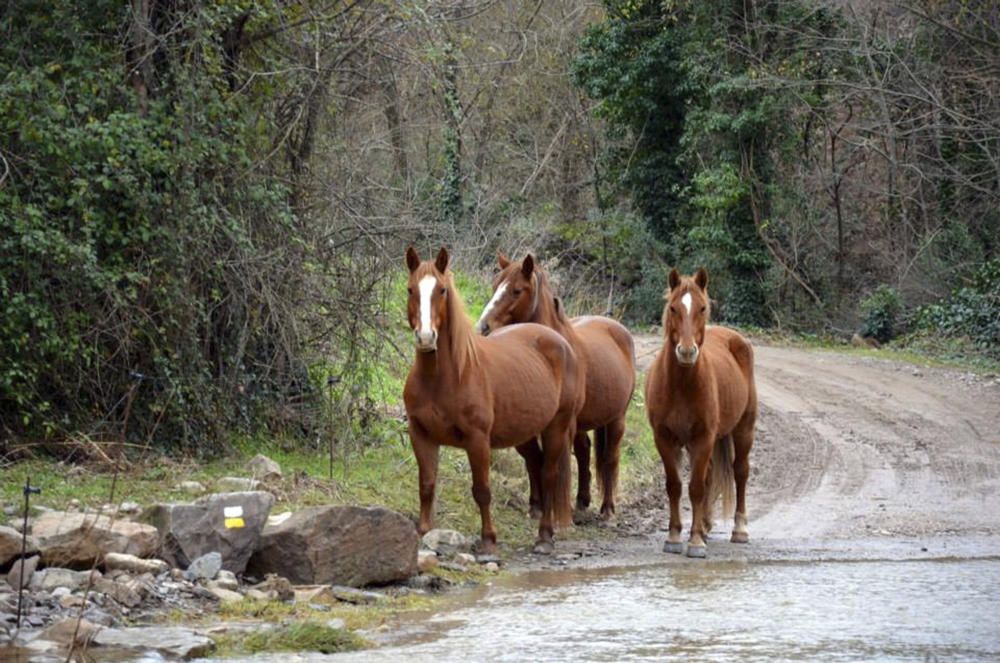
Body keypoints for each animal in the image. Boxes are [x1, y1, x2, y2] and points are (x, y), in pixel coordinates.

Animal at [402, 248, 580, 556]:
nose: (425, 337)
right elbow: (427, 484)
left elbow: (482, 490)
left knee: (549, 474)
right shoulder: (420, 435)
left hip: (556, 427)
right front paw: (424, 531)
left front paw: (488, 541)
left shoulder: (477, 440)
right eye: (411, 289)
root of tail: (558, 340)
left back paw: (544, 537)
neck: (443, 378)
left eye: (442, 290)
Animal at [474, 254, 632, 520]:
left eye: (517, 291)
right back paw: (581, 501)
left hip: (616, 418)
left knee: (610, 457)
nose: (482, 327)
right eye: (495, 286)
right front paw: (536, 505)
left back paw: (607, 508)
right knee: (583, 451)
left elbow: (553, 461)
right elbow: (533, 459)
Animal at [644, 268, 752, 556]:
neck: (682, 385)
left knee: (740, 472)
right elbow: (675, 486)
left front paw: (694, 542)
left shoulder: (703, 438)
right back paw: (705, 526)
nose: (686, 351)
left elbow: (695, 488)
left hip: (744, 430)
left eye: (702, 308)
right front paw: (673, 537)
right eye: (673, 308)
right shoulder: (664, 439)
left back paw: (739, 530)